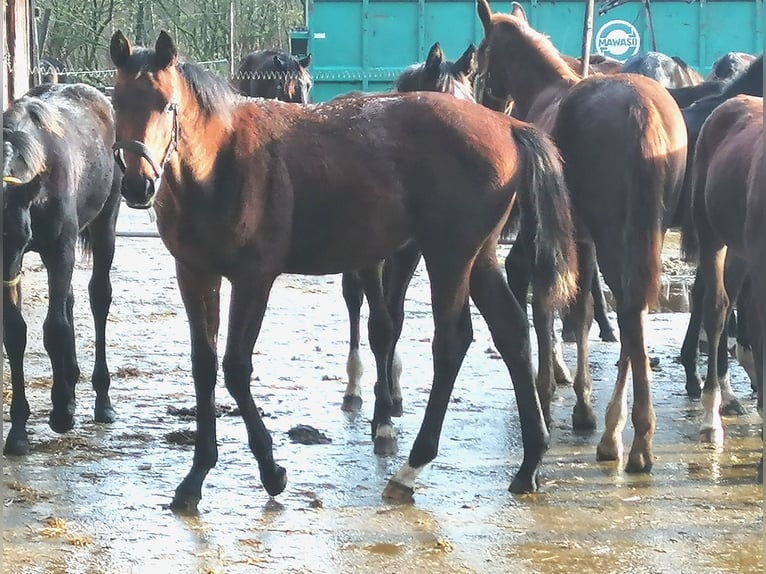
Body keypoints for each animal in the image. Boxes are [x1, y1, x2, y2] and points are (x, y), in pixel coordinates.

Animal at [2, 83, 121, 456]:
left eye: (18, 234)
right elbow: (15, 332)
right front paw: (19, 430)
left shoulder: (59, 251)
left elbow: (54, 329)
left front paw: (61, 415)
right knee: (67, 300)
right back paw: (69, 384)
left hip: (104, 224)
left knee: (98, 299)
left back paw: (101, 401)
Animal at [340, 41, 476, 418]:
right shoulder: (369, 257)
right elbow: (378, 325)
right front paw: (378, 401)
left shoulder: (409, 253)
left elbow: (395, 319)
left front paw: (391, 392)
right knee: (354, 303)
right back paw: (354, 387)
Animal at [476, 0, 688, 474]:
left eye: (480, 55)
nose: (487, 102)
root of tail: (642, 109)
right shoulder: (582, 236)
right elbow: (584, 309)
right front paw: (581, 398)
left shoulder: (543, 231)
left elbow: (544, 301)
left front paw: (549, 388)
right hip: (642, 231)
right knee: (633, 312)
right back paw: (622, 430)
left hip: (614, 235)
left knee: (629, 311)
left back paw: (629, 437)